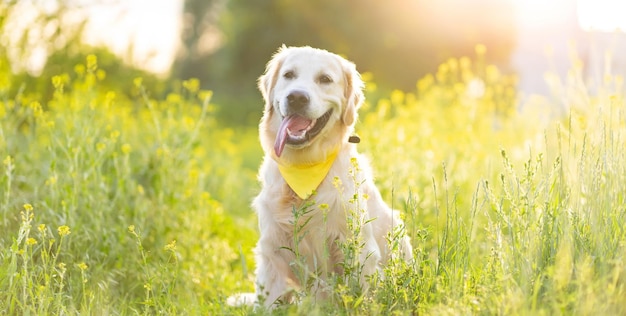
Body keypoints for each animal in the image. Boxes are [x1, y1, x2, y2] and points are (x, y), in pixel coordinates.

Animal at [232, 45, 412, 308]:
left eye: (325, 79)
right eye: (288, 75)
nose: (297, 97)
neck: (304, 167)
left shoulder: (357, 248)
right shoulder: (273, 252)